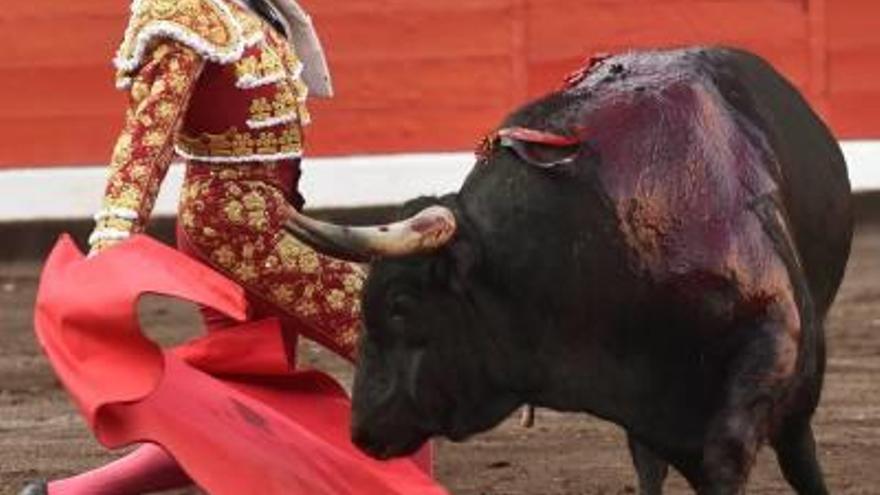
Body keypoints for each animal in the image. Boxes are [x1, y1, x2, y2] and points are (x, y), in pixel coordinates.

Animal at [296, 45, 852, 492]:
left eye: (401, 304)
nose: (361, 431)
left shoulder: (775, 337)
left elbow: (726, 456)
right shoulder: (642, 403)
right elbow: (649, 462)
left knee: (798, 453)